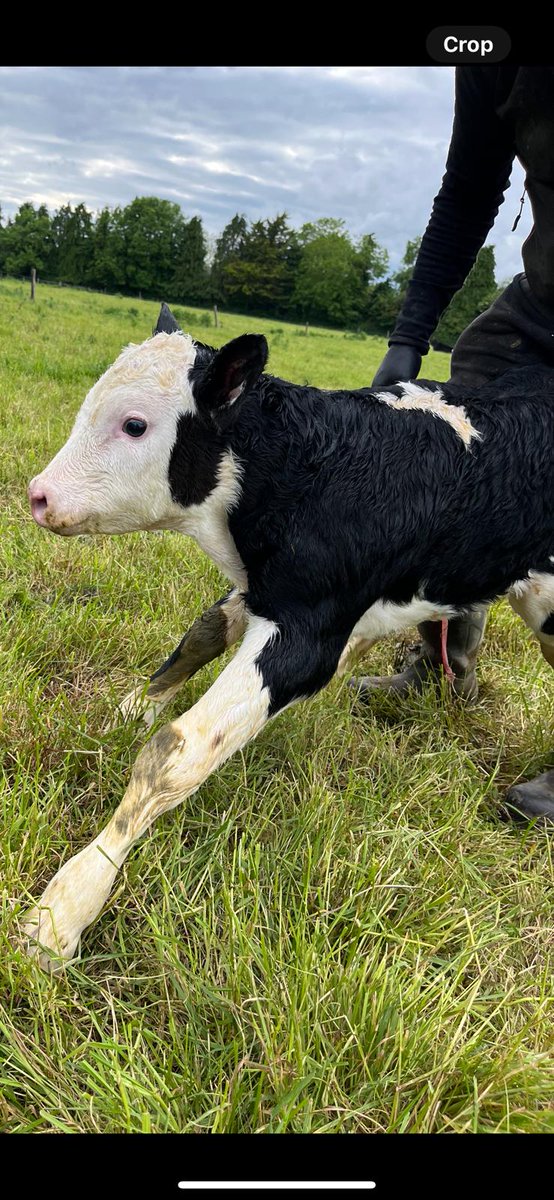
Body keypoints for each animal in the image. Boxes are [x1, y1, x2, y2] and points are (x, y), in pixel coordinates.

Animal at [23, 303, 554, 970]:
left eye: (135, 425)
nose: (39, 496)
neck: (309, 470)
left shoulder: (308, 631)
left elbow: (176, 752)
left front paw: (64, 910)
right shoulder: (271, 590)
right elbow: (201, 635)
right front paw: (129, 709)